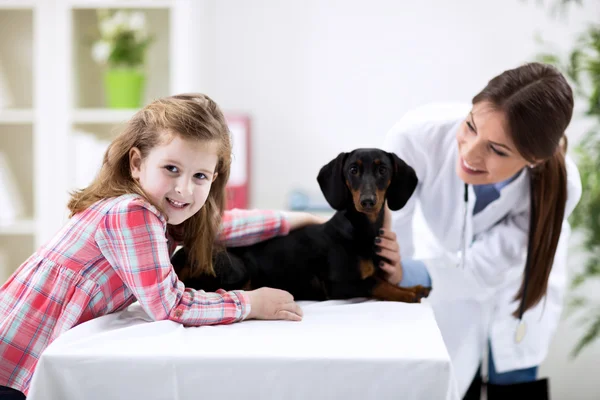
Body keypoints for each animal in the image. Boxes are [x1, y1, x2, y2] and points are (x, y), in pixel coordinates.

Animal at [172, 149, 432, 304]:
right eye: (353, 169)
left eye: (382, 170)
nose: (368, 201)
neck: (360, 231)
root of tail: (179, 258)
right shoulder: (337, 285)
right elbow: (377, 284)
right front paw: (409, 293)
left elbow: (384, 279)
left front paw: (415, 287)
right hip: (237, 269)